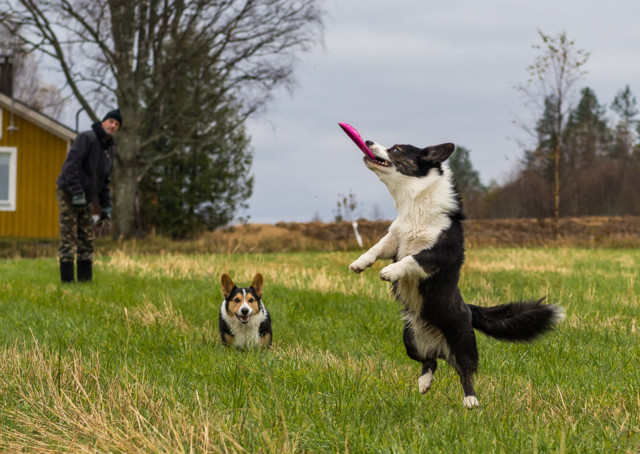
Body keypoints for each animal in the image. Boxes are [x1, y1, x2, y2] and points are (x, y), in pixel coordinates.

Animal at [350, 139, 564, 408]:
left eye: (396, 150)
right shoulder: (395, 240)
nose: (368, 142)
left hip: (463, 345)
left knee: (465, 373)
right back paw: (424, 384)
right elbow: (377, 247)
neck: (415, 206)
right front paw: (359, 264)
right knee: (429, 362)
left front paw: (390, 271)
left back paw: (471, 401)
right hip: (410, 339)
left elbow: (413, 258)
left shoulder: (439, 253)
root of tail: (470, 310)